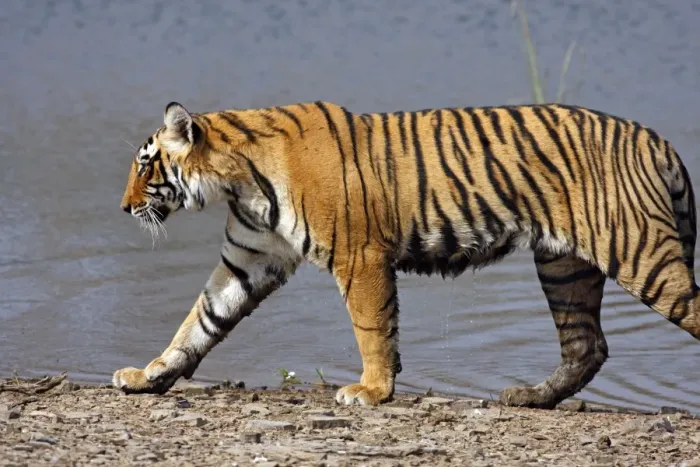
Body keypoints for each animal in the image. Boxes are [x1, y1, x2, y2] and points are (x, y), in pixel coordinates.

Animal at [114, 100, 700, 409]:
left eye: (145, 165)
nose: (123, 208)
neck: (238, 182)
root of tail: (656, 138)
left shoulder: (359, 256)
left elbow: (372, 328)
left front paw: (371, 390)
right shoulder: (248, 259)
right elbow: (198, 322)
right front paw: (148, 376)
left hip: (640, 253)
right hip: (563, 265)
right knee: (586, 345)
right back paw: (530, 397)